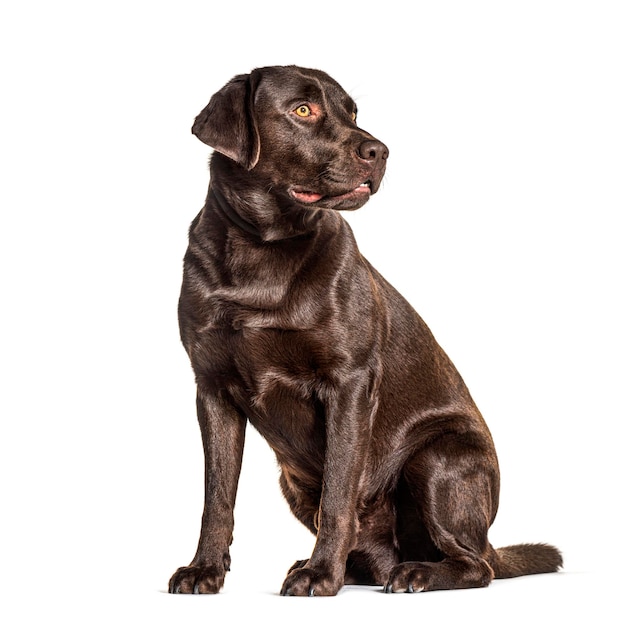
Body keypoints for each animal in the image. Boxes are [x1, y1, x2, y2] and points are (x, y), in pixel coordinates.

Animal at [167, 64, 560, 596]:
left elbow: (339, 493)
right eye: (303, 109)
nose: (380, 150)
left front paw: (319, 576)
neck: (261, 251)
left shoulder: (348, 384)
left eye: (353, 112)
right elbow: (217, 496)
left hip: (438, 459)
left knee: (477, 565)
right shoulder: (212, 390)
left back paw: (413, 572)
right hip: (294, 479)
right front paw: (204, 569)